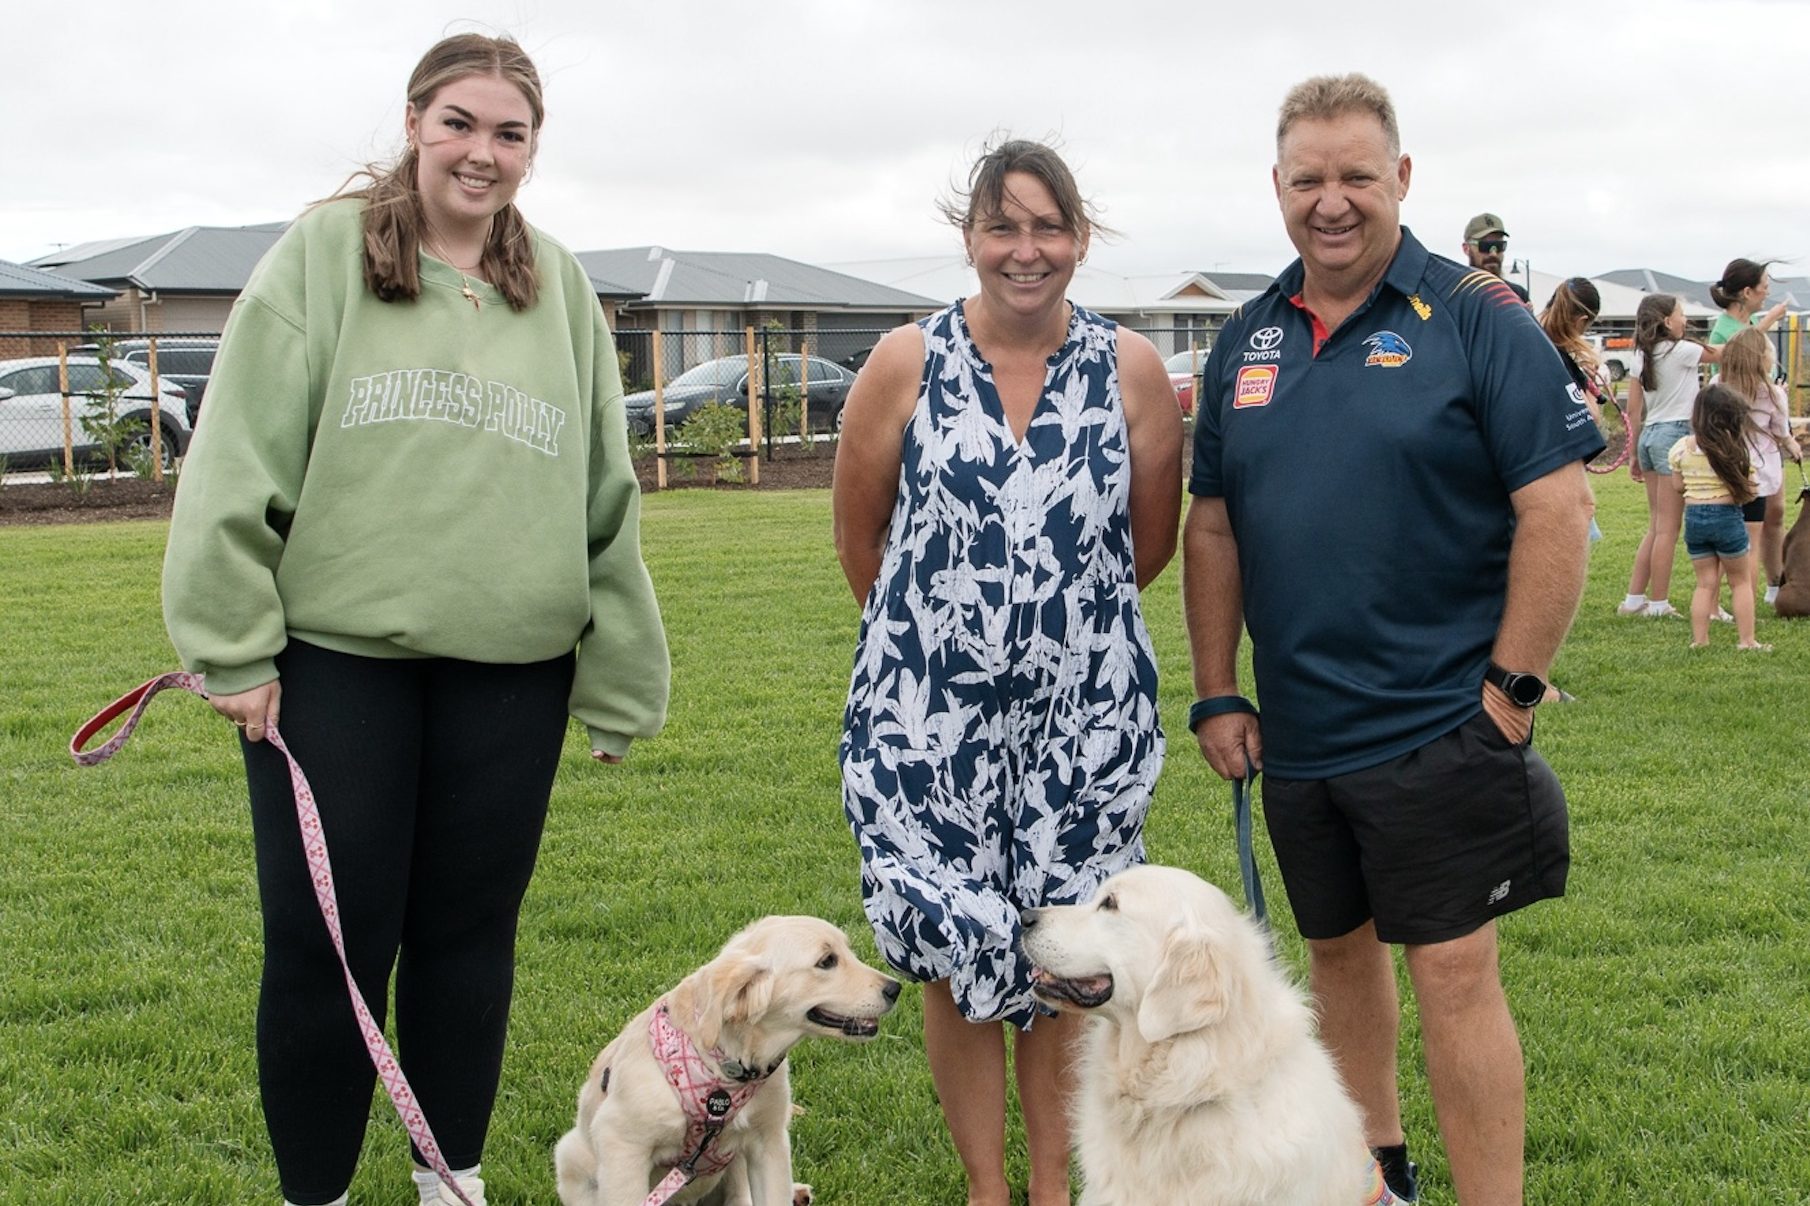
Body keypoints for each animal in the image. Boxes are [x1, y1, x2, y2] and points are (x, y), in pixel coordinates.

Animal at [546, 912, 894, 1202]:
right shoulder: (621, 1145)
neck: (726, 1071)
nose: (895, 988)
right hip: (570, 1153)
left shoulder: (769, 1141)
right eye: (827, 961)